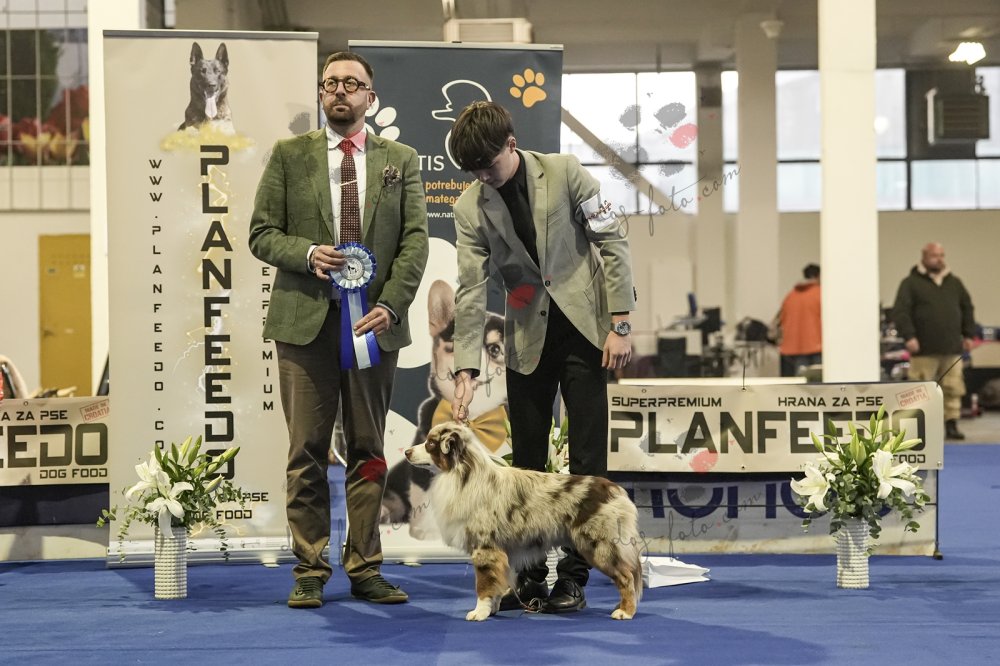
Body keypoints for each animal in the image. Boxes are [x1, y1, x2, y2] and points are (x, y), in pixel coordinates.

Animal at [405, 421, 643, 621]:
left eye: (430, 443)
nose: (406, 452)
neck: (465, 475)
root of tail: (615, 490)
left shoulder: (485, 548)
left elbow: (483, 585)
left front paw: (479, 613)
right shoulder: (502, 552)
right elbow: (497, 584)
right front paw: (493, 609)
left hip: (599, 545)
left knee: (626, 578)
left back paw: (625, 611)